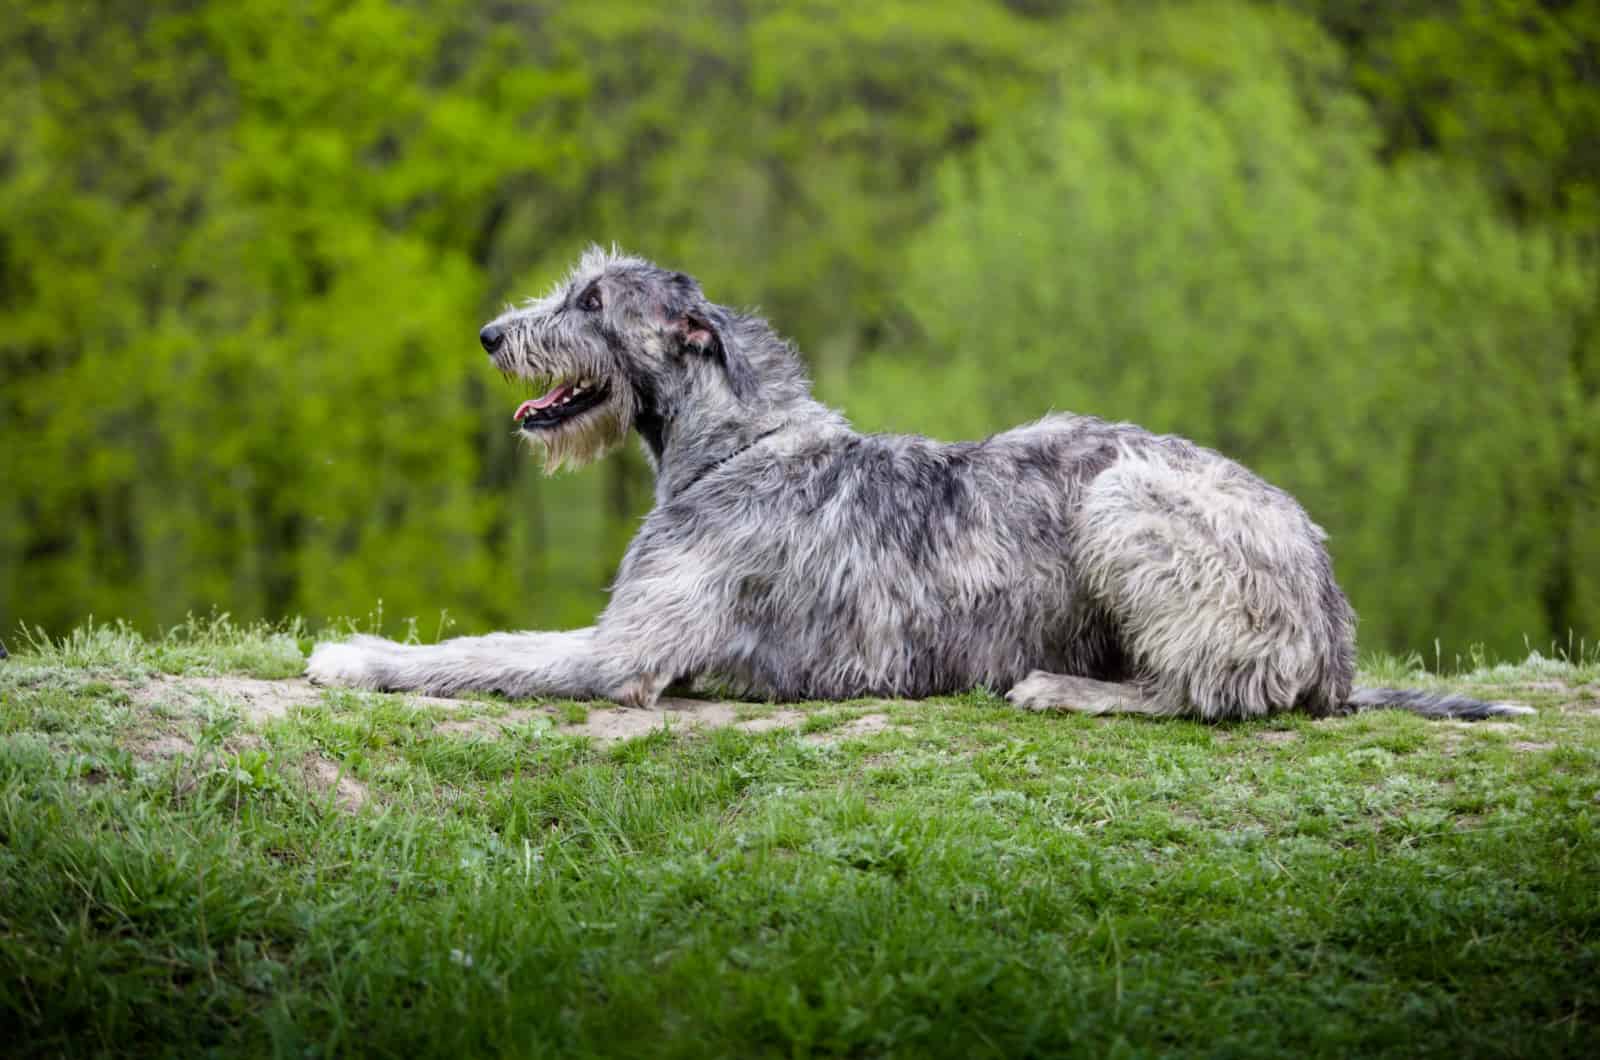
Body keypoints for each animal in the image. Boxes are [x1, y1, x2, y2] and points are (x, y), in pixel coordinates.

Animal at [308, 251, 1523, 723]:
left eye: (593, 299)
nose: (491, 334)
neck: (742, 443)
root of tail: (1334, 623)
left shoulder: (626, 654)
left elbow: (478, 655)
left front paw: (352, 656)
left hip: (1127, 501)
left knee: (1212, 689)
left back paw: (1069, 689)